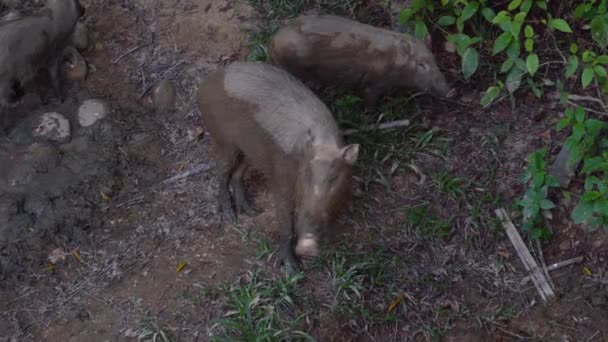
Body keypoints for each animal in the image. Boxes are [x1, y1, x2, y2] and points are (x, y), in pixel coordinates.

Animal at [198, 60, 360, 272]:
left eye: (334, 178)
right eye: (306, 175)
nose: (307, 247)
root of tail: (205, 83)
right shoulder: (281, 178)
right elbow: (284, 216)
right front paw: (292, 269)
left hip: (251, 150)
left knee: (237, 173)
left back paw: (252, 211)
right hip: (223, 140)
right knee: (222, 172)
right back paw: (231, 217)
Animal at [268, 14, 448, 111]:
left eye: (434, 60)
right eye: (420, 65)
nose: (450, 90)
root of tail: (273, 39)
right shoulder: (374, 83)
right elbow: (370, 99)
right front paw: (371, 114)